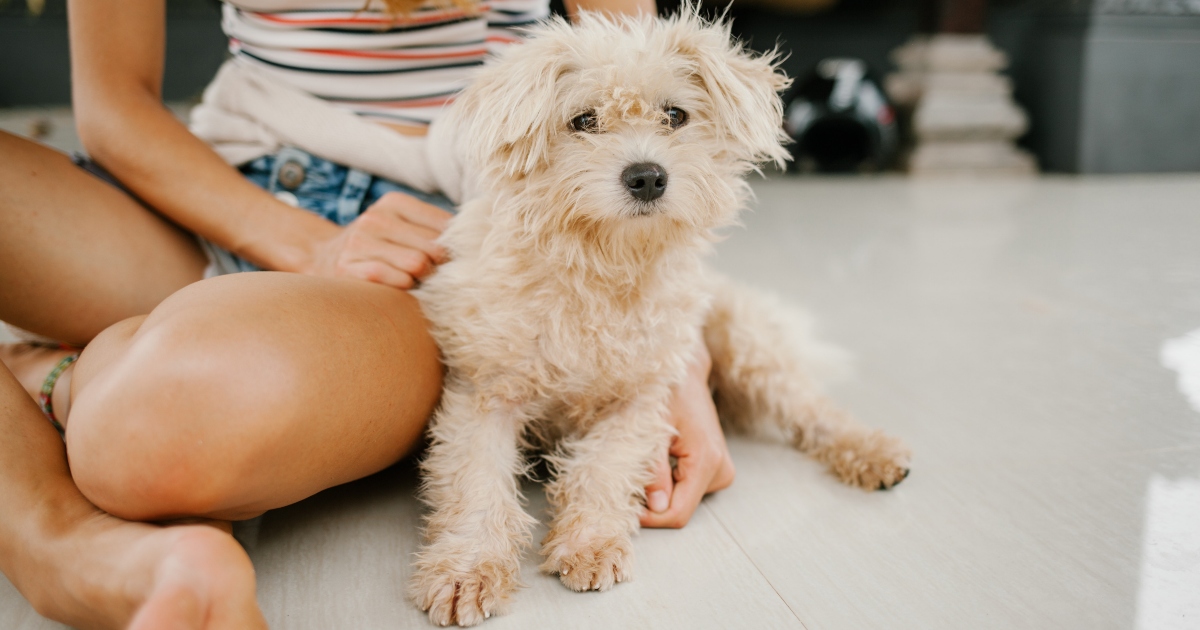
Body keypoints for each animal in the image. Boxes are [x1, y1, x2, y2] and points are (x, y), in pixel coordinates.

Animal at [410, 9, 907, 624]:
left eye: (675, 115)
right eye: (584, 120)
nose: (647, 176)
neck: (602, 266)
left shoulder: (642, 397)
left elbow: (602, 467)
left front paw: (590, 544)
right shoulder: (485, 393)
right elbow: (477, 485)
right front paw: (468, 570)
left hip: (746, 346)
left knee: (815, 410)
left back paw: (873, 453)